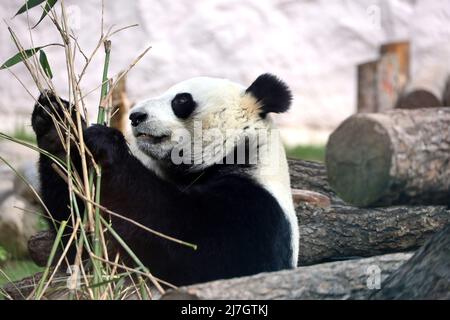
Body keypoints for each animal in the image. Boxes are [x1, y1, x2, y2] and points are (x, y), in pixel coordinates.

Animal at [31, 74, 298, 286]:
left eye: (181, 100)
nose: (135, 116)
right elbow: (80, 237)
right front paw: (56, 124)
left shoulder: (254, 209)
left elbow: (188, 244)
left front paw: (107, 142)